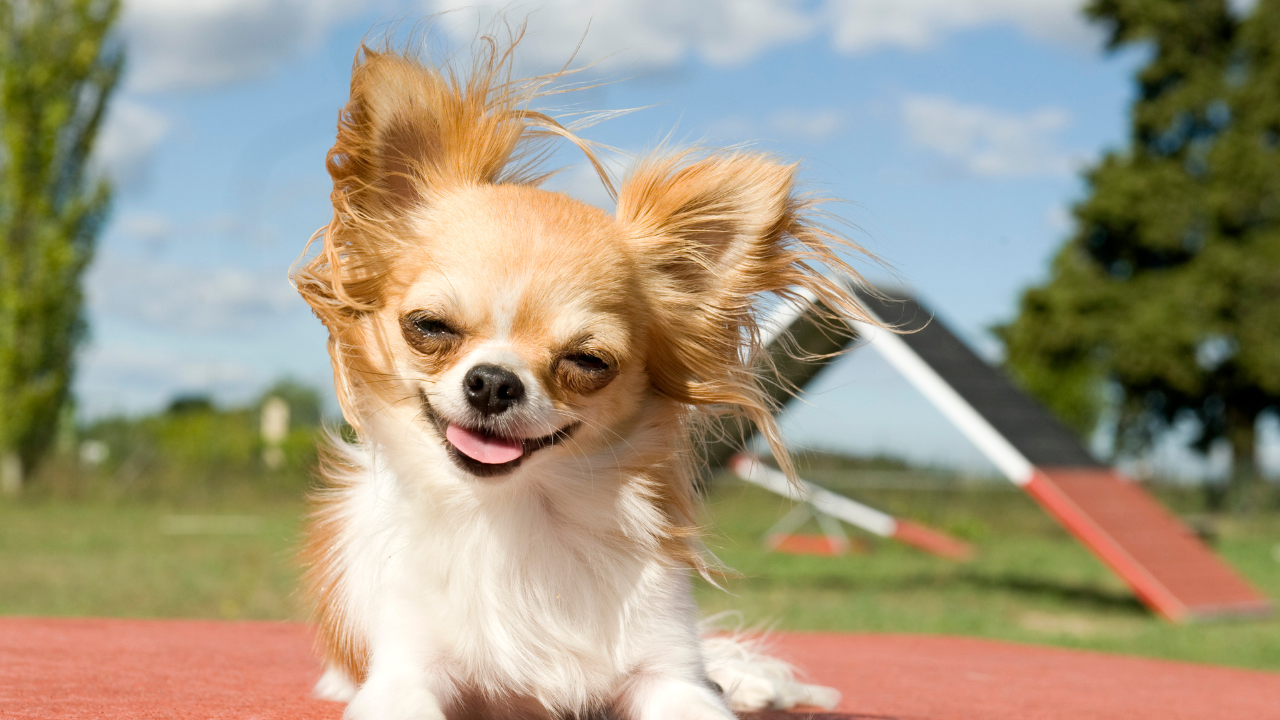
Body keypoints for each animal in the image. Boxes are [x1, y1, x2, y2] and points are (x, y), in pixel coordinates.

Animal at [290, 29, 870, 717]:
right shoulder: (406, 674)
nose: (493, 382)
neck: (522, 516)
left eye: (588, 362)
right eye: (429, 327)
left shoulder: (669, 671)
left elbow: (694, 689)